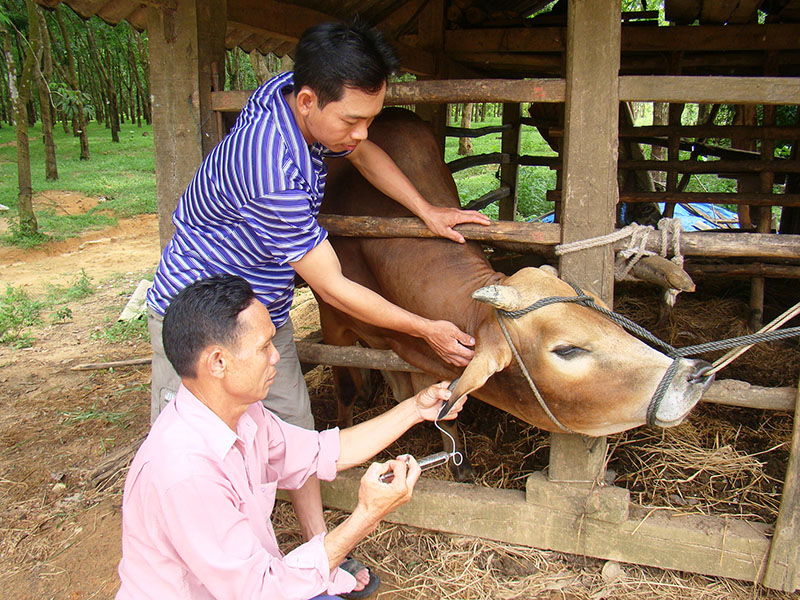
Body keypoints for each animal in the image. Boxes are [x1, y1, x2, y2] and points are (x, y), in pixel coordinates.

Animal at [318, 106, 712, 478]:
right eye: (567, 349)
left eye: (607, 315)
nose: (696, 373)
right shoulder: (332, 318)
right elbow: (346, 386)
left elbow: (443, 407)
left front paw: (459, 463)